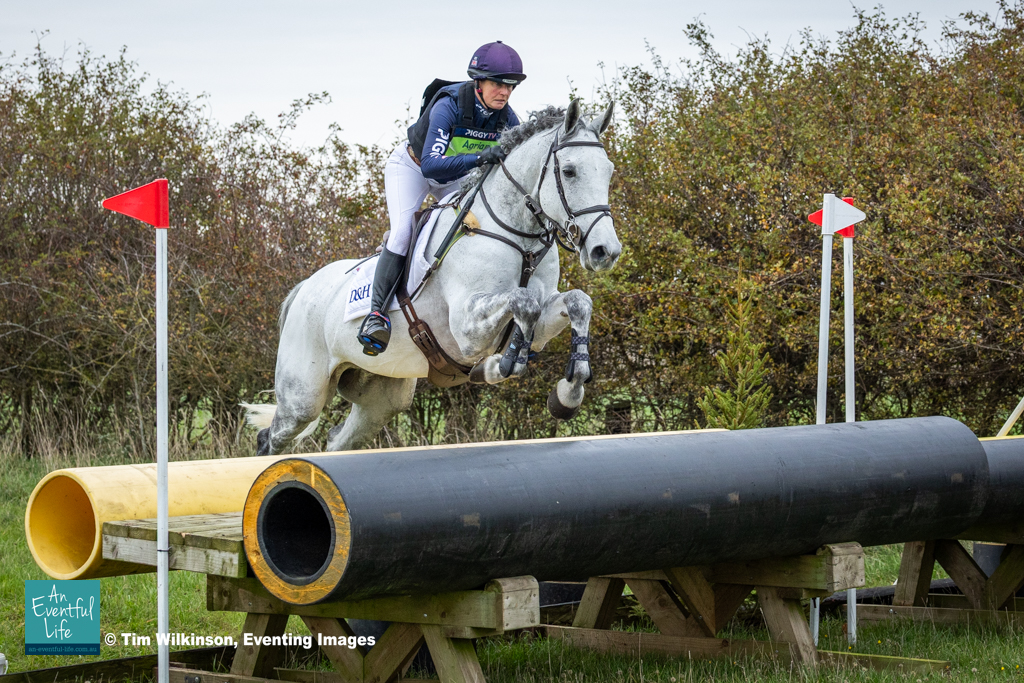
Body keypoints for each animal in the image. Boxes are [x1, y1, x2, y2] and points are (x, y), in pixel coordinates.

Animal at [244, 99, 621, 455]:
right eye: (569, 171)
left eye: (609, 172)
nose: (606, 251)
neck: (517, 236)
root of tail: (304, 289)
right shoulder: (467, 328)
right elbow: (523, 302)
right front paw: (496, 366)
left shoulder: (541, 321)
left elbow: (577, 302)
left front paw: (568, 393)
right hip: (302, 396)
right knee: (272, 438)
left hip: (381, 397)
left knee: (339, 441)